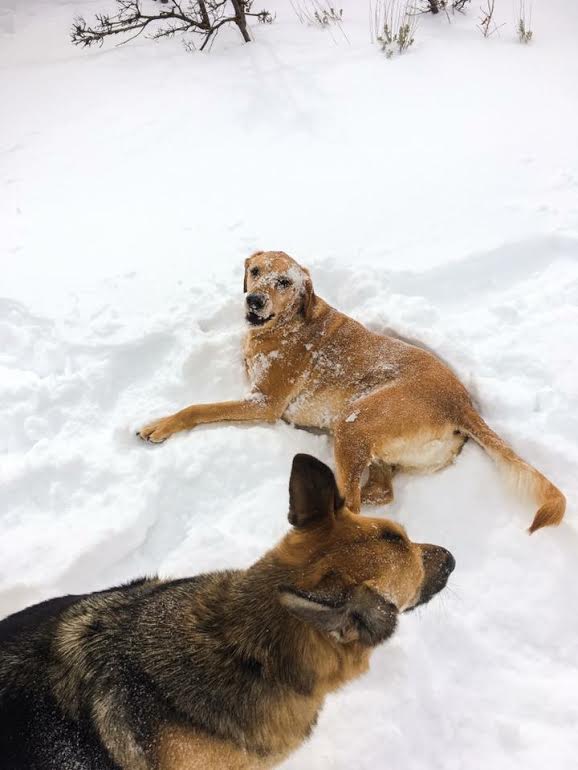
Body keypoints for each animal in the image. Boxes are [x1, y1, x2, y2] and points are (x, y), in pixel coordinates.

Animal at [136, 249, 564, 532]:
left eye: (284, 282)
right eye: (255, 271)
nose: (253, 300)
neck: (284, 324)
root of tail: (464, 403)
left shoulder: (263, 403)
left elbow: (197, 408)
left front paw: (159, 425)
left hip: (354, 422)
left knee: (353, 507)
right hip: (369, 442)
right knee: (377, 493)